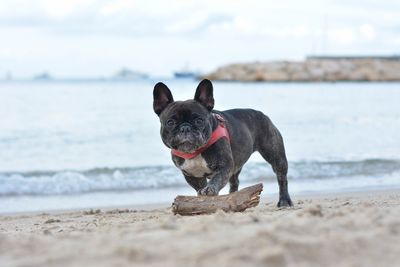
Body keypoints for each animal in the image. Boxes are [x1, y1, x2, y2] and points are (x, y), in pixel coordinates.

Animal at [153, 78, 294, 208]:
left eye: (199, 120)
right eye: (170, 122)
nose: (185, 128)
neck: (196, 151)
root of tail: (262, 114)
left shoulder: (224, 166)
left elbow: (216, 179)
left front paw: (210, 190)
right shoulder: (191, 175)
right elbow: (200, 187)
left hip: (275, 155)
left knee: (281, 177)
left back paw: (284, 201)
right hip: (236, 164)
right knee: (234, 182)